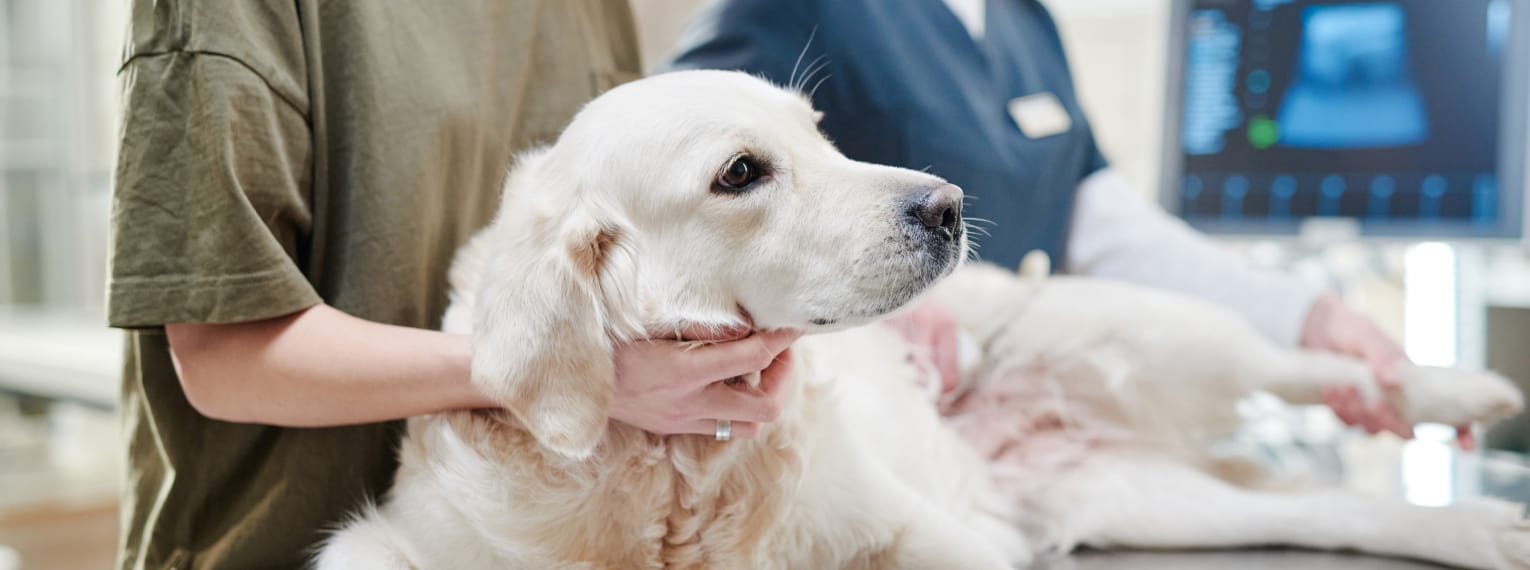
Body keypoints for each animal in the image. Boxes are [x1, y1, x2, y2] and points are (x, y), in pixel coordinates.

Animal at [313, 71, 1530, 568]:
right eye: (743, 172)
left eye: (820, 131)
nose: (946, 205)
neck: (674, 477)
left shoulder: (936, 538)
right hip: (1135, 497)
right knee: (1336, 509)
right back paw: (1481, 528)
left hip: (1135, 326)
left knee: (1302, 367)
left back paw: (1454, 386)